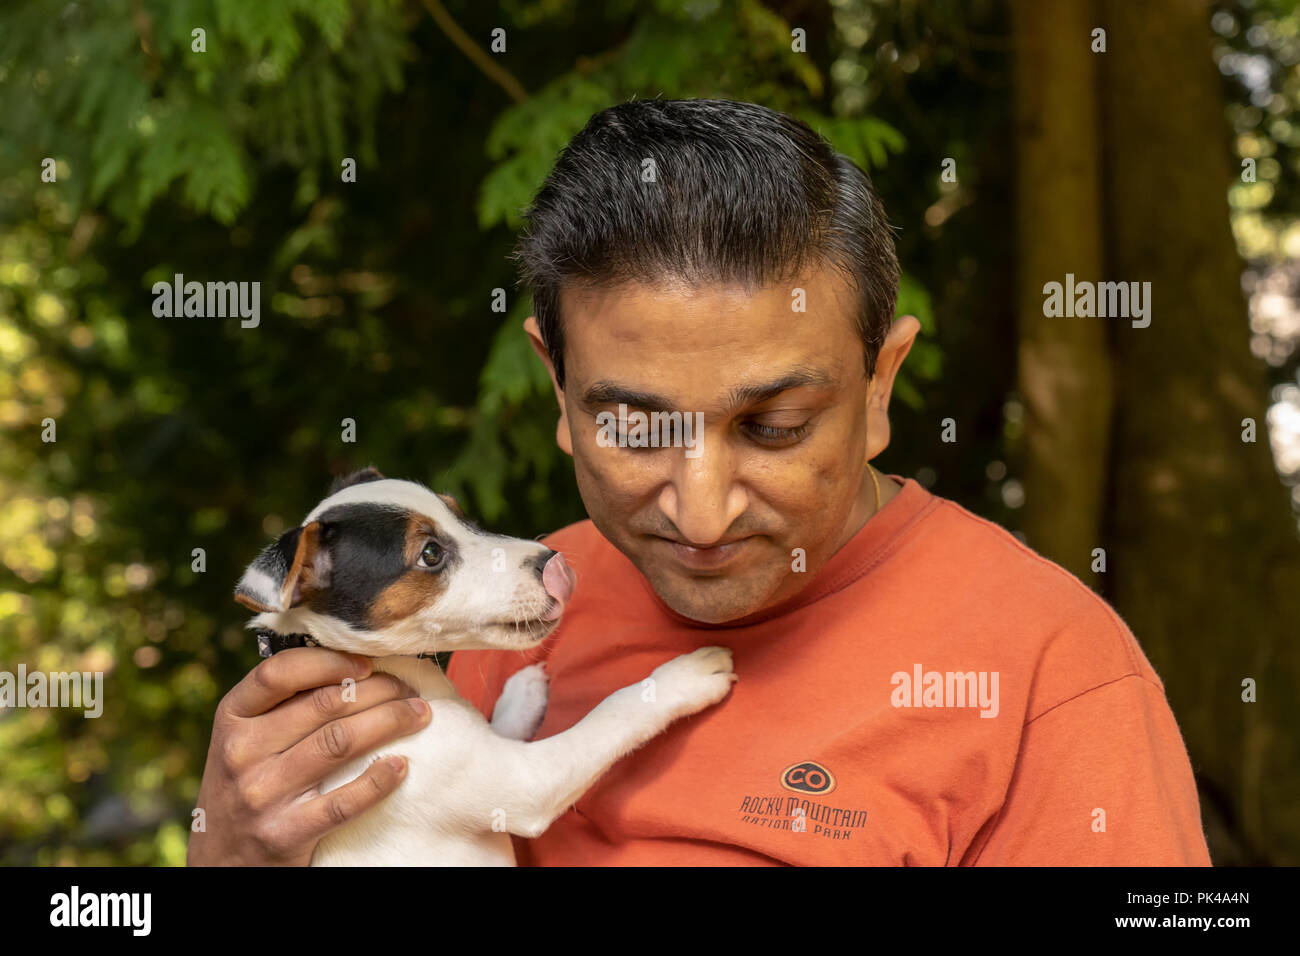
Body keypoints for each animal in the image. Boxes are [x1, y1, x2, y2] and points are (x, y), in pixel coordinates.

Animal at [233, 468, 738, 868]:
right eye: (431, 554)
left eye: (465, 518)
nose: (552, 561)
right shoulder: (522, 782)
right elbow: (613, 712)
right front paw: (682, 679)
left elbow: (500, 720)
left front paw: (524, 691)